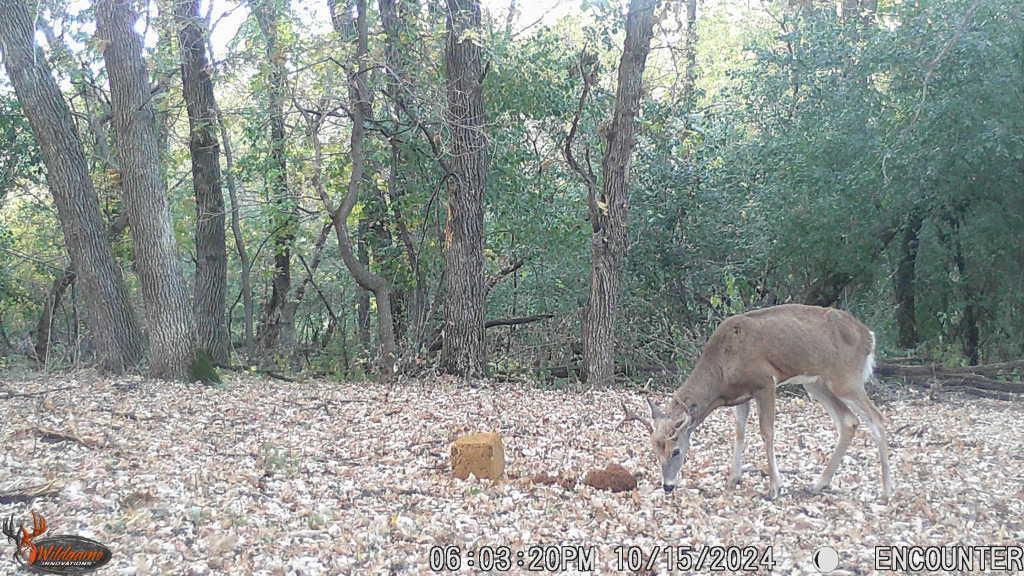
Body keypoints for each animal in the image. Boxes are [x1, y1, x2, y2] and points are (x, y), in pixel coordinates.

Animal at [622, 305, 888, 498]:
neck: (723, 367)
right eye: (655, 449)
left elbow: (766, 432)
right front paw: (733, 479)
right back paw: (818, 484)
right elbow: (739, 432)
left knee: (877, 418)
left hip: (846, 378)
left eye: (676, 450)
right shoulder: (741, 395)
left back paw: (887, 490)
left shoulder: (765, 383)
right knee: (849, 421)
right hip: (816, 383)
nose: (667, 486)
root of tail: (870, 336)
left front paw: (775, 487)